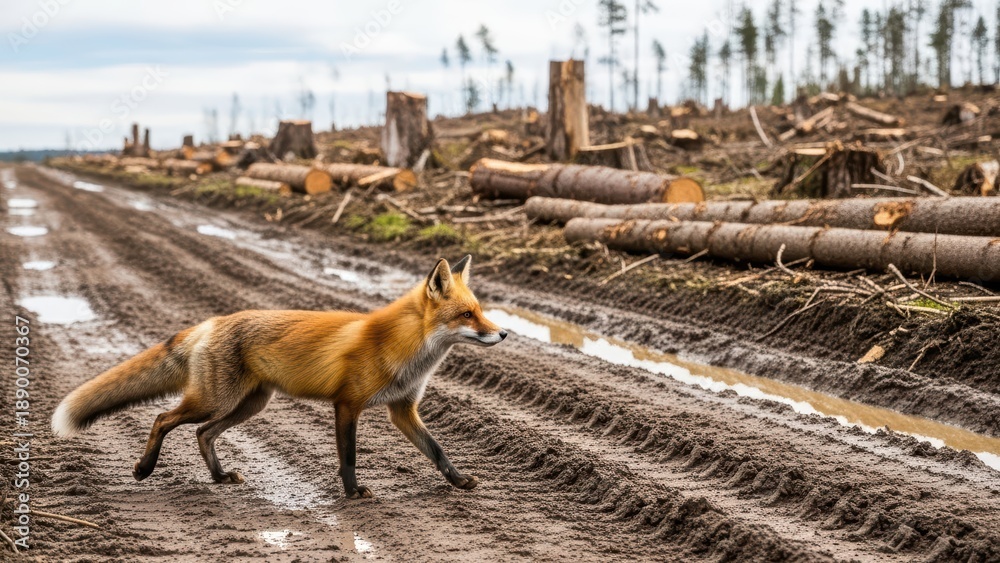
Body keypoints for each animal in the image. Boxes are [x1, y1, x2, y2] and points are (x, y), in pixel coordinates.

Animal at [51, 255, 507, 498]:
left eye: (480, 311)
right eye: (467, 315)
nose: (502, 333)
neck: (403, 347)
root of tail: (211, 322)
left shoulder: (403, 410)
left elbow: (437, 451)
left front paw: (459, 480)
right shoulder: (347, 405)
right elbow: (348, 457)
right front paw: (352, 493)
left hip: (250, 404)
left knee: (203, 434)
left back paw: (218, 477)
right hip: (214, 400)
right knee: (164, 419)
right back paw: (145, 469)